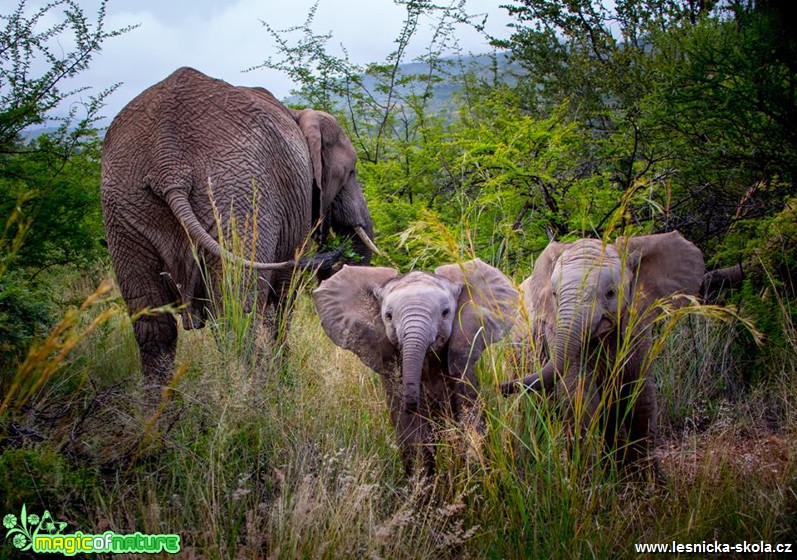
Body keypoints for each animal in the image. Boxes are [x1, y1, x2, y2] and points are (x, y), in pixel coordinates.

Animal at [102, 66, 376, 384]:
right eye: (351, 172)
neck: (297, 114)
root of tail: (168, 164)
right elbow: (282, 298)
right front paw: (283, 380)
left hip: (124, 207)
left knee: (153, 326)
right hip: (239, 198)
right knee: (237, 311)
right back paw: (253, 393)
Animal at [314, 258, 520, 472]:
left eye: (445, 313)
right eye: (388, 316)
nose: (414, 403)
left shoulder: (463, 354)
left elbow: (470, 417)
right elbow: (413, 435)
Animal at [500, 232, 704, 482]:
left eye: (610, 293)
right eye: (555, 295)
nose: (500, 387)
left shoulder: (636, 325)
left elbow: (640, 396)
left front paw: (651, 483)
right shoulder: (553, 328)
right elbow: (580, 397)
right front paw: (588, 483)